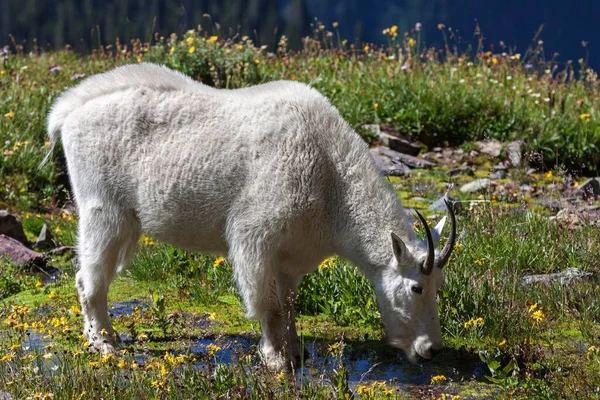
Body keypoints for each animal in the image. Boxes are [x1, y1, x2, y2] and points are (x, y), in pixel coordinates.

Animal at [47, 63, 458, 372]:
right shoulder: (256, 236)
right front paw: (276, 359)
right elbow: (268, 304)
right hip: (102, 206)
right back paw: (103, 343)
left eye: (439, 285)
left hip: (129, 221)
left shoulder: (292, 252)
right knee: (89, 276)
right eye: (416, 287)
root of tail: (67, 114)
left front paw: (296, 350)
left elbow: (289, 303)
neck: (333, 183)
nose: (431, 350)